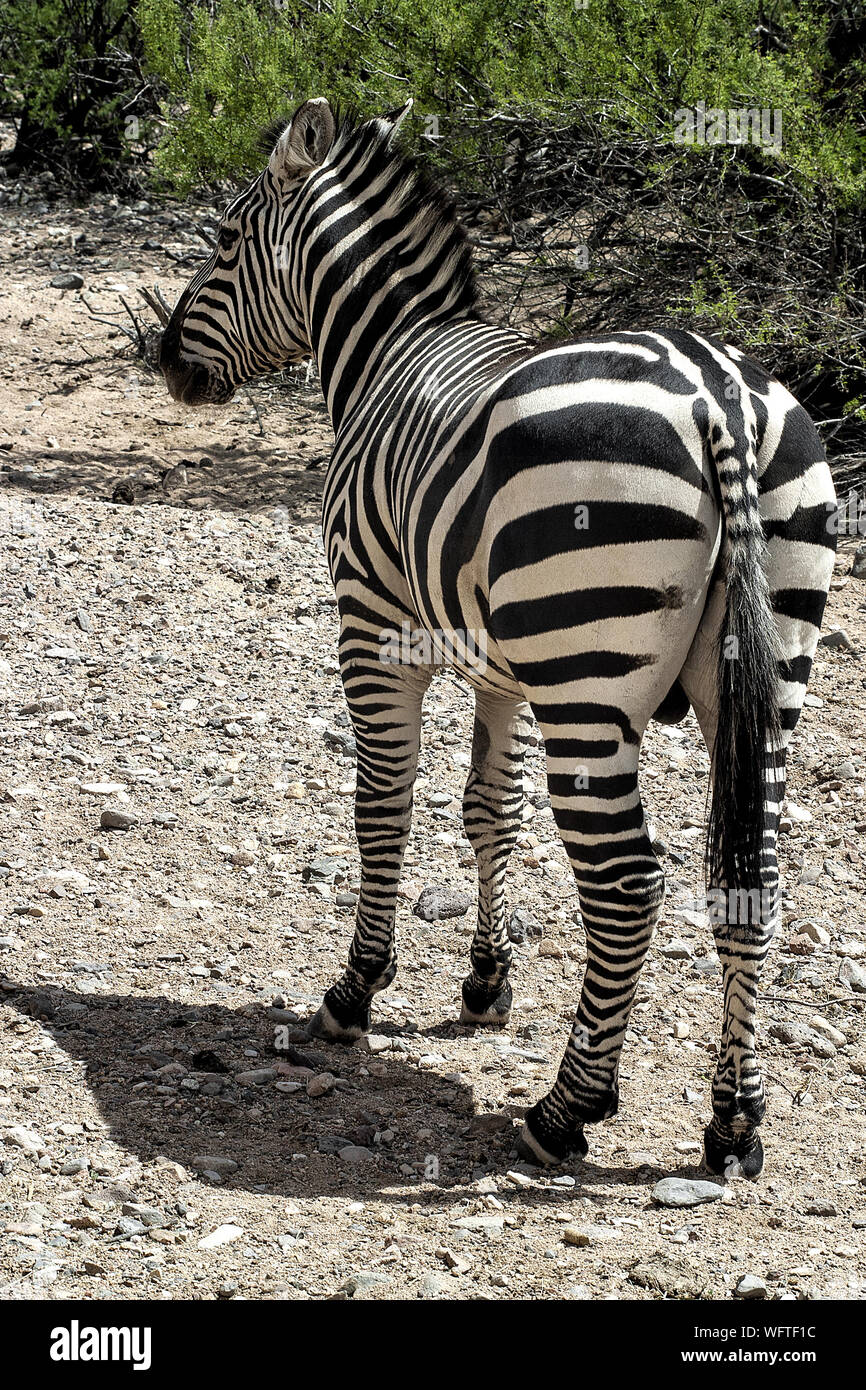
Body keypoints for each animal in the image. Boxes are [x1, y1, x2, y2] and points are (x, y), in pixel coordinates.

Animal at [159, 97, 839, 1173]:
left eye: (225, 241)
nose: (166, 363)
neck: (392, 347)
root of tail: (716, 395)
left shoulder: (372, 623)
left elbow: (383, 805)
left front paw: (355, 990)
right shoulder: (503, 670)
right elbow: (491, 808)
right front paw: (485, 981)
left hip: (588, 681)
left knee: (627, 884)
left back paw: (568, 1107)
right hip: (766, 677)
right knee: (750, 875)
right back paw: (733, 1122)